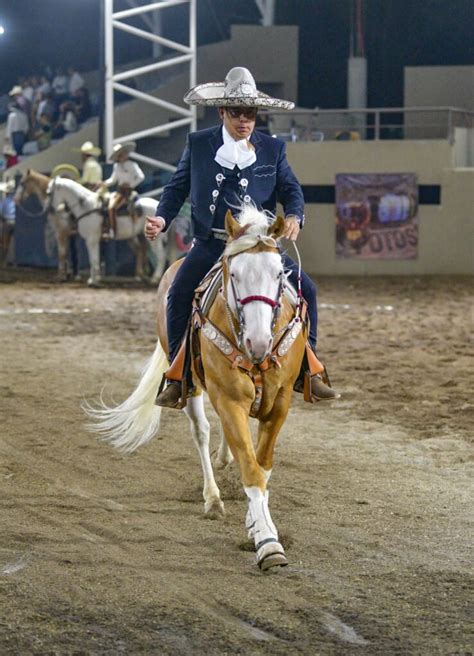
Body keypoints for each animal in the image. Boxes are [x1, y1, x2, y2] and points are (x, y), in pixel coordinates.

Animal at [15, 172, 181, 288]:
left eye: (49, 192)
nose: (49, 209)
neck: (85, 206)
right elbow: (86, 257)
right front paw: (91, 278)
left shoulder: (88, 239)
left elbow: (91, 258)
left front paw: (93, 280)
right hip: (139, 236)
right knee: (143, 252)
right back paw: (143, 276)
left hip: (155, 240)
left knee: (161, 256)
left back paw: (154, 278)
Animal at [84, 206, 308, 568]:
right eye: (235, 275)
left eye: (278, 274)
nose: (259, 342)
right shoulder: (227, 397)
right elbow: (251, 469)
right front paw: (267, 542)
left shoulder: (281, 400)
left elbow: (261, 463)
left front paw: (257, 522)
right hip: (191, 385)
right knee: (201, 432)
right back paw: (213, 499)